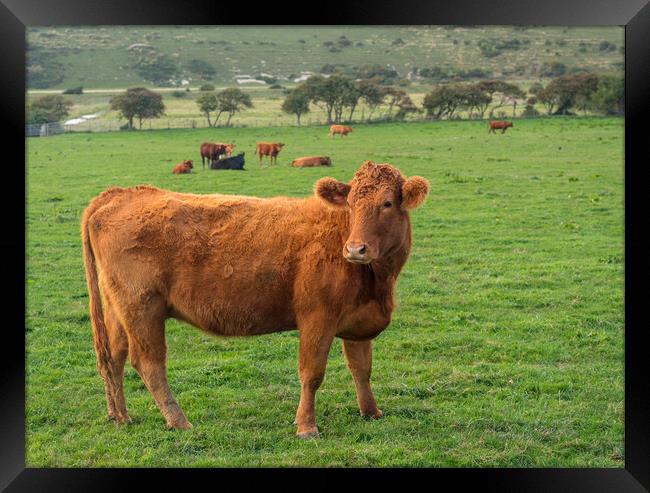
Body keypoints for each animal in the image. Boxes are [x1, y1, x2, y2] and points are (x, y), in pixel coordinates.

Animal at [81, 160, 428, 436]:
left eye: (387, 203)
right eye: (352, 204)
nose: (356, 249)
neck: (377, 281)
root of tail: (122, 193)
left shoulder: (358, 323)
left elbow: (361, 369)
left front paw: (371, 412)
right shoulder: (317, 319)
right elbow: (312, 374)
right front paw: (306, 426)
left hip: (118, 310)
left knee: (113, 358)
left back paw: (120, 416)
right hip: (143, 308)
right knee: (149, 364)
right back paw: (178, 421)